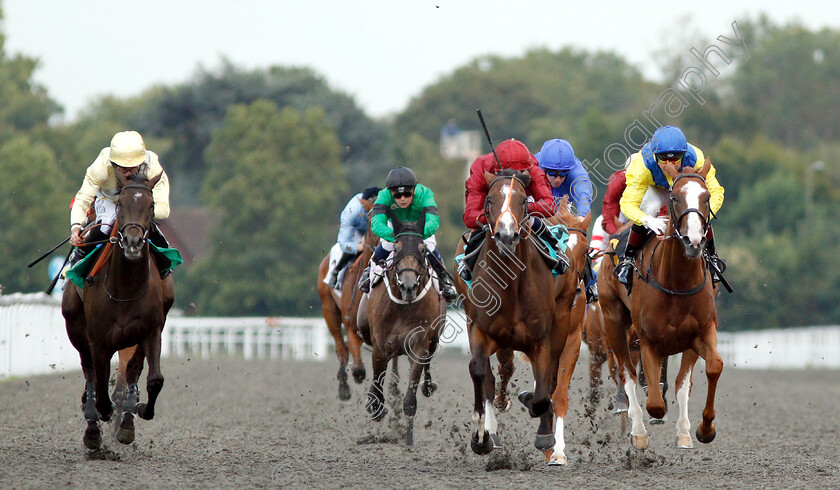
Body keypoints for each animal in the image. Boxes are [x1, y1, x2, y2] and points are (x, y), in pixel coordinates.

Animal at [62, 171, 176, 448]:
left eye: (151, 205)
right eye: (121, 204)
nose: (133, 242)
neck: (125, 287)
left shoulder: (151, 332)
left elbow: (153, 379)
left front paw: (138, 409)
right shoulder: (99, 341)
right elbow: (101, 387)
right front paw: (100, 413)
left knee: (130, 371)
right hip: (76, 328)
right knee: (90, 372)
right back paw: (92, 426)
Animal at [316, 201, 378, 400]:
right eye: (371, 221)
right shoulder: (351, 324)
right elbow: (358, 368)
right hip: (328, 309)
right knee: (341, 348)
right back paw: (343, 386)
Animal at [362, 216, 442, 434]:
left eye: (423, 250)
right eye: (396, 249)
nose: (408, 286)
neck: (403, 307)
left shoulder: (419, 346)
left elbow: (410, 398)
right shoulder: (380, 347)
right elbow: (377, 382)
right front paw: (376, 407)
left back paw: (428, 386)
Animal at [604, 162, 720, 452]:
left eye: (706, 197)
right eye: (675, 197)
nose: (694, 241)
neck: (676, 281)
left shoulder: (701, 331)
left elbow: (705, 371)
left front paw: (700, 430)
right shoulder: (648, 340)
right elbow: (654, 403)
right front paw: (644, 427)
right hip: (612, 320)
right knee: (627, 374)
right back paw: (637, 431)